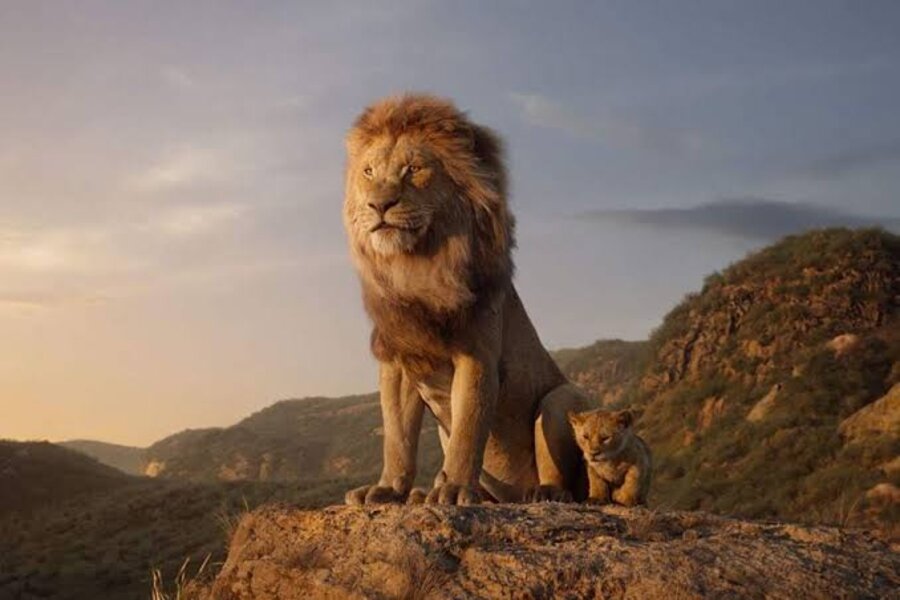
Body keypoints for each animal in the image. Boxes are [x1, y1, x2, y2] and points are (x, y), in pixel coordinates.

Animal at [342, 94, 593, 505]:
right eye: (368, 172)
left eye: (414, 169)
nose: (379, 205)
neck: (417, 265)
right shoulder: (399, 360)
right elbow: (397, 436)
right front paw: (388, 488)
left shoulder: (477, 355)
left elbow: (468, 430)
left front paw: (455, 489)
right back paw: (424, 493)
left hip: (561, 399)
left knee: (567, 478)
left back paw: (543, 493)